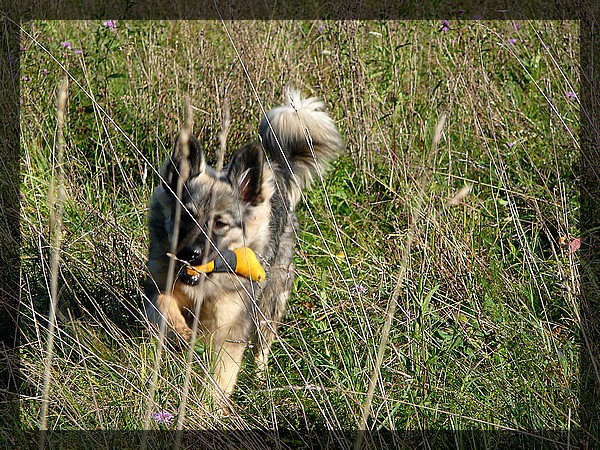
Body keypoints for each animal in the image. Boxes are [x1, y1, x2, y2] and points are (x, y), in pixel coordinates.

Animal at [144, 87, 342, 400]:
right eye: (186, 216)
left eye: (220, 224)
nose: (190, 253)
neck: (205, 285)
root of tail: (275, 172)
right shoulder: (158, 286)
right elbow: (163, 305)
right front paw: (180, 332)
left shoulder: (230, 328)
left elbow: (221, 377)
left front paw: (210, 406)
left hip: (269, 303)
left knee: (262, 346)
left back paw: (261, 382)